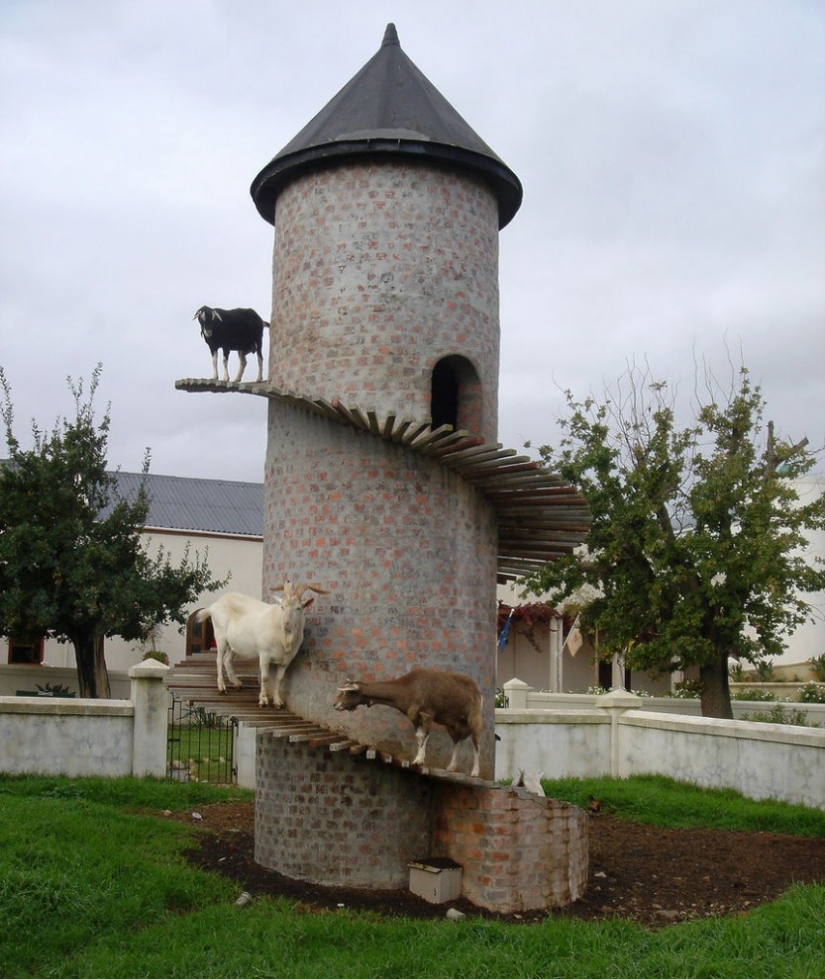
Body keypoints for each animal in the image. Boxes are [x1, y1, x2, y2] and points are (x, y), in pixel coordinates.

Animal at [196, 581, 327, 708]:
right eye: (282, 607)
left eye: (298, 608)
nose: (286, 624)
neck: (282, 636)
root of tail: (214, 606)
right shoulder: (264, 654)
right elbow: (265, 677)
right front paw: (263, 700)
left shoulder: (286, 660)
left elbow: (279, 679)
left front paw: (277, 701)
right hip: (220, 637)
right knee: (218, 660)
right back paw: (222, 687)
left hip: (233, 644)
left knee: (227, 659)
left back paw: (237, 683)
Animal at [333, 667, 482, 777]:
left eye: (347, 692)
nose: (335, 705)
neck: (408, 689)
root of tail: (477, 690)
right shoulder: (414, 717)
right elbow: (419, 736)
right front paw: (417, 759)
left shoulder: (427, 713)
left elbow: (425, 736)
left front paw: (420, 760)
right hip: (453, 723)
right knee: (458, 742)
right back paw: (451, 767)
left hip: (474, 717)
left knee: (476, 743)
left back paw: (475, 772)